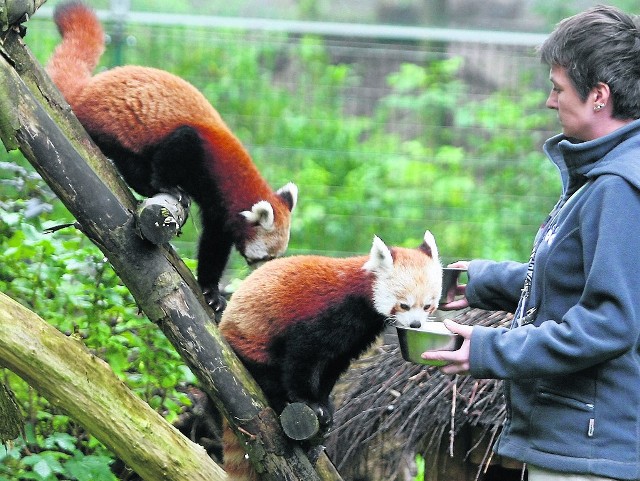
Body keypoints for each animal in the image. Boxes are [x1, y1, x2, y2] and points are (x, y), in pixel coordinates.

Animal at [46, 1, 298, 310]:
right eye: (267, 256)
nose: (265, 271)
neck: (231, 181)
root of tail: (87, 90)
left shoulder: (218, 209)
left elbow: (213, 245)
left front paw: (212, 292)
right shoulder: (198, 152)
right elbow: (176, 149)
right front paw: (167, 186)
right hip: (114, 126)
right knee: (130, 162)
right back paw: (148, 185)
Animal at [218, 231, 442, 478]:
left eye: (428, 306)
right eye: (404, 305)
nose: (416, 324)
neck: (361, 295)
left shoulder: (355, 338)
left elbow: (333, 366)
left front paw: (324, 403)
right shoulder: (323, 315)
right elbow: (302, 357)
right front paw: (308, 401)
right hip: (252, 343)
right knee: (266, 373)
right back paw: (279, 398)